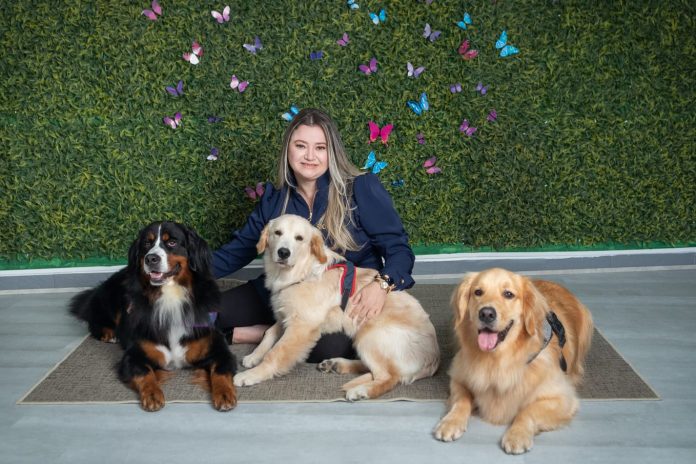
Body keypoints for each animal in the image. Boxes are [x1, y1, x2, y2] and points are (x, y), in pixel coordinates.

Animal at [68, 223, 237, 412]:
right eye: (146, 244)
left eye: (172, 242)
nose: (150, 259)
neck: (170, 296)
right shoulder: (134, 355)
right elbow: (145, 373)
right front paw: (152, 395)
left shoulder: (218, 349)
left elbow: (221, 371)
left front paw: (224, 394)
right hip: (110, 297)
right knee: (94, 318)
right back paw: (108, 333)